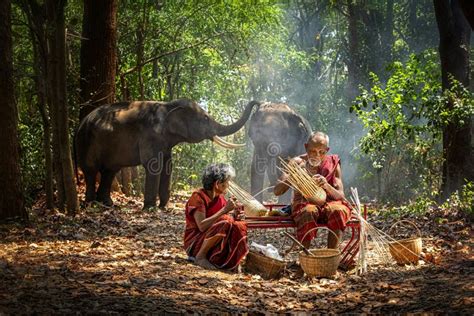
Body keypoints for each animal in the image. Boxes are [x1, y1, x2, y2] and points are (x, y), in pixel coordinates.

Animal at [76, 98, 260, 207]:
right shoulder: (150, 135)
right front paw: (151, 208)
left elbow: (167, 166)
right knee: (91, 170)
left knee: (109, 171)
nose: (257, 103)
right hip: (86, 142)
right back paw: (91, 204)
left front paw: (165, 206)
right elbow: (153, 166)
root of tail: (80, 123)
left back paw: (107, 204)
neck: (168, 105)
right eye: (205, 118)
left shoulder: (164, 142)